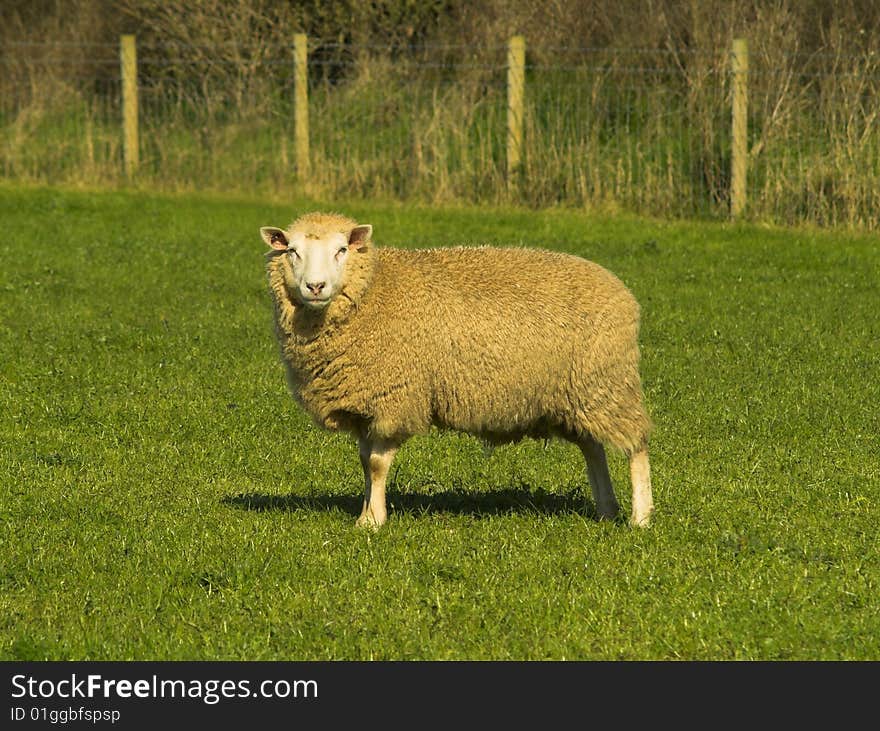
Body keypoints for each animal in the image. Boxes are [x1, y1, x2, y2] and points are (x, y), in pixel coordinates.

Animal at [262, 213, 652, 532]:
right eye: (292, 251)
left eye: (341, 250)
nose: (315, 287)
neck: (375, 289)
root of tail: (624, 293)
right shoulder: (364, 405)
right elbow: (364, 463)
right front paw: (368, 513)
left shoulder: (396, 398)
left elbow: (376, 465)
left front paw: (372, 522)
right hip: (579, 396)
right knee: (594, 449)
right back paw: (606, 510)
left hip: (608, 383)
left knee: (636, 446)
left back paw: (641, 517)